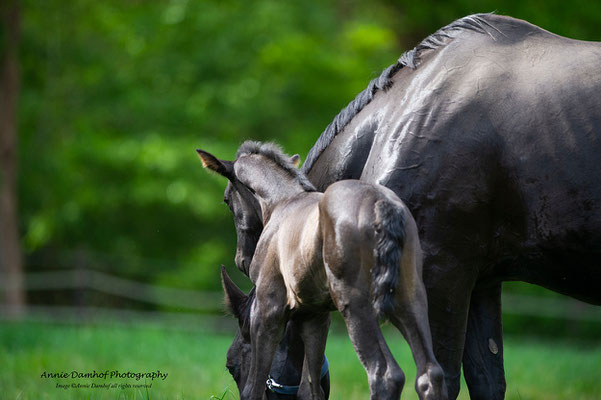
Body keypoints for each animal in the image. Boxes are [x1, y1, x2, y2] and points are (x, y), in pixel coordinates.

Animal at [198, 142, 446, 398]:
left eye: (227, 199)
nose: (242, 260)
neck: (283, 203)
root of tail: (380, 203)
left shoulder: (267, 310)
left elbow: (254, 388)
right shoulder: (314, 317)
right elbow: (311, 388)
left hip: (356, 304)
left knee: (385, 375)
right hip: (410, 298)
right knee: (431, 374)